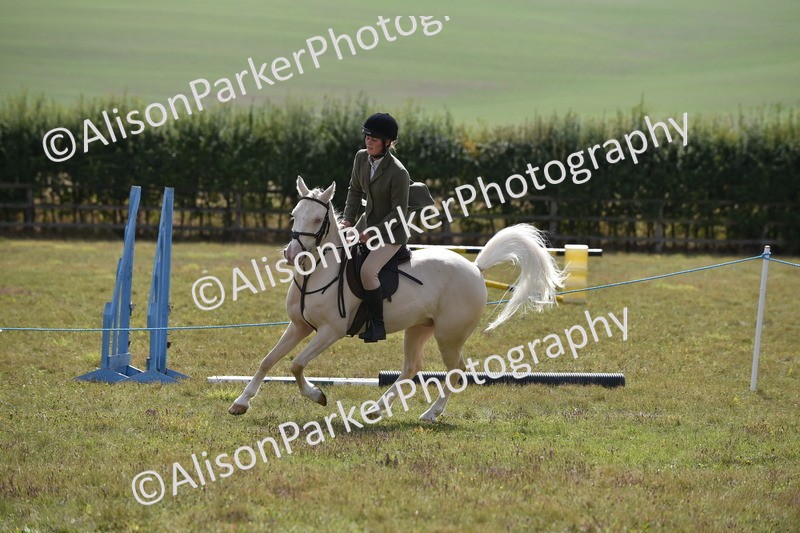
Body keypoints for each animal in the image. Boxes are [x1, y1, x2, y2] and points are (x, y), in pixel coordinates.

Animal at [228, 176, 565, 422]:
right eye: (294, 215)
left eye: (317, 220)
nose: (291, 254)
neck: (319, 272)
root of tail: (475, 268)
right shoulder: (298, 326)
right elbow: (268, 360)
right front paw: (241, 403)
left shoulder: (330, 332)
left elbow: (296, 364)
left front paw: (318, 396)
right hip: (419, 328)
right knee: (412, 368)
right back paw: (376, 409)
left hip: (449, 335)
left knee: (457, 370)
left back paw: (430, 413)